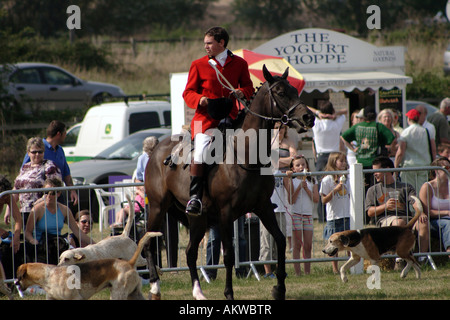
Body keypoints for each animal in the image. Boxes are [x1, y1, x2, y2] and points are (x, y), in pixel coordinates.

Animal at [146, 65, 314, 300]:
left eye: (295, 91)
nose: (308, 117)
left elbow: (280, 241)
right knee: (148, 245)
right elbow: (228, 256)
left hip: (198, 219)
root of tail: (156, 149)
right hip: (157, 207)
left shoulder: (263, 207)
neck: (246, 155)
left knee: (190, 253)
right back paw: (154, 285)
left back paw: (198, 292)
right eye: (281, 93)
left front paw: (279, 288)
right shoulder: (226, 213)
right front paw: (229, 294)